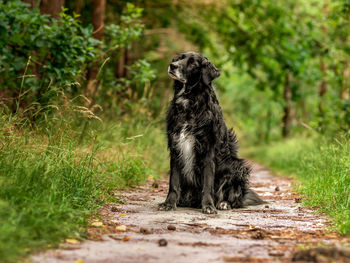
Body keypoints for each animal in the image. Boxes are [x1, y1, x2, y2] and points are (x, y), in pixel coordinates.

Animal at [159, 51, 266, 214]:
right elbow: (174, 182)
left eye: (193, 63)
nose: (173, 66)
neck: (189, 102)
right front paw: (169, 203)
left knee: (235, 198)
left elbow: (208, 183)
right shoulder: (176, 147)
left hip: (237, 167)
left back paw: (223, 203)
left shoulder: (208, 151)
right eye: (179, 58)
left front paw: (208, 205)